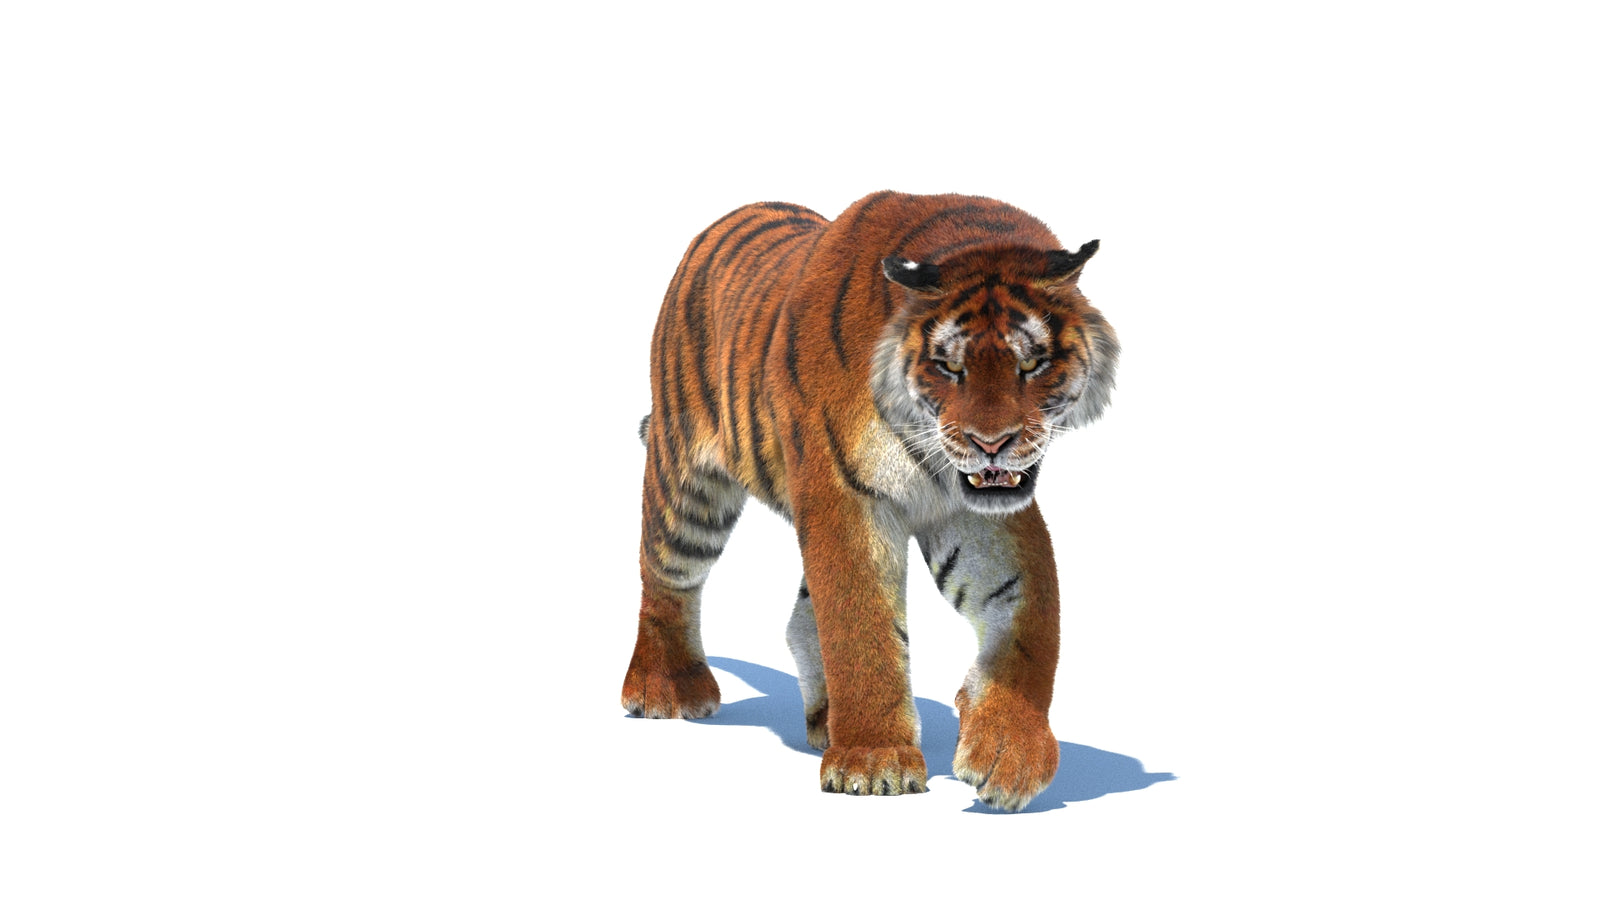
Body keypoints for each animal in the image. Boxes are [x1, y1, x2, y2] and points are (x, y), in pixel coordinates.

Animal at [621, 190, 1119, 811]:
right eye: (949, 366)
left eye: (1030, 364)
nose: (991, 443)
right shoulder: (845, 497)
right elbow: (862, 629)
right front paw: (875, 764)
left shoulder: (974, 513)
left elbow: (1032, 619)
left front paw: (1009, 753)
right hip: (687, 486)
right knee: (666, 577)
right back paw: (665, 689)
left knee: (797, 619)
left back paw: (823, 719)